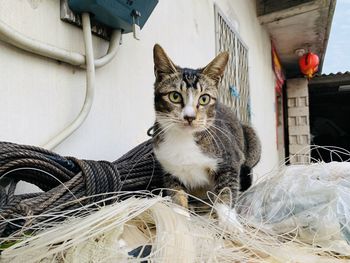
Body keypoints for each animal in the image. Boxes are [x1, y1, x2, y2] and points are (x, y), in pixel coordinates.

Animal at [152, 44, 262, 211]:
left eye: (204, 98)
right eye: (174, 96)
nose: (189, 117)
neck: (184, 140)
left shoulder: (230, 160)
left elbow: (226, 194)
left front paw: (227, 217)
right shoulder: (170, 170)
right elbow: (177, 196)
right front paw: (181, 213)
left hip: (251, 139)